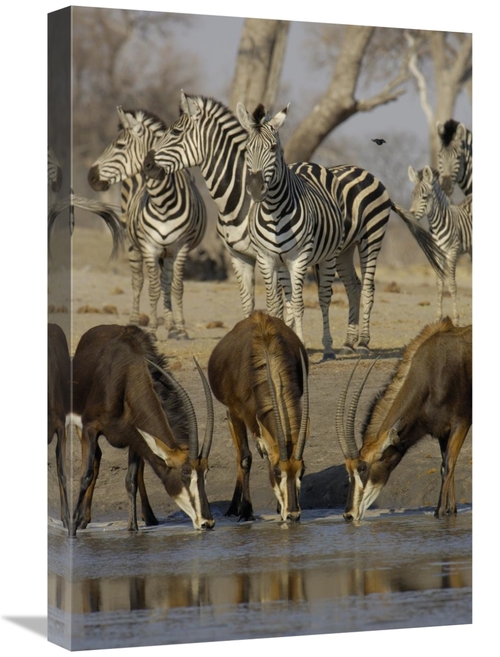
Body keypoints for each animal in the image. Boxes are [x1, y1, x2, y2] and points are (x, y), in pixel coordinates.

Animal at [70, 324, 215, 535]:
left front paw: (133, 529)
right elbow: (86, 475)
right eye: (185, 472)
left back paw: (149, 517)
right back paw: (82, 519)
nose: (207, 522)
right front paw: (71, 527)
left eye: (206, 472)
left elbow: (131, 480)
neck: (125, 377)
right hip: (81, 429)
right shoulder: (90, 428)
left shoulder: (135, 437)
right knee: (94, 461)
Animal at [208, 310, 309, 522]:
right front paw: (246, 511)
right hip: (231, 414)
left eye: (302, 470)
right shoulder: (236, 412)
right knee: (240, 454)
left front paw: (279, 508)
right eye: (277, 471)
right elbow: (245, 458)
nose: (293, 514)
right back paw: (233, 507)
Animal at [336, 317, 472, 521]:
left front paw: (439, 512)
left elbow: (448, 465)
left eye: (362, 468)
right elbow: (447, 465)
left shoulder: (461, 424)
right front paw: (452, 511)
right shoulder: (443, 432)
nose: (348, 515)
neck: (432, 374)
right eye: (347, 470)